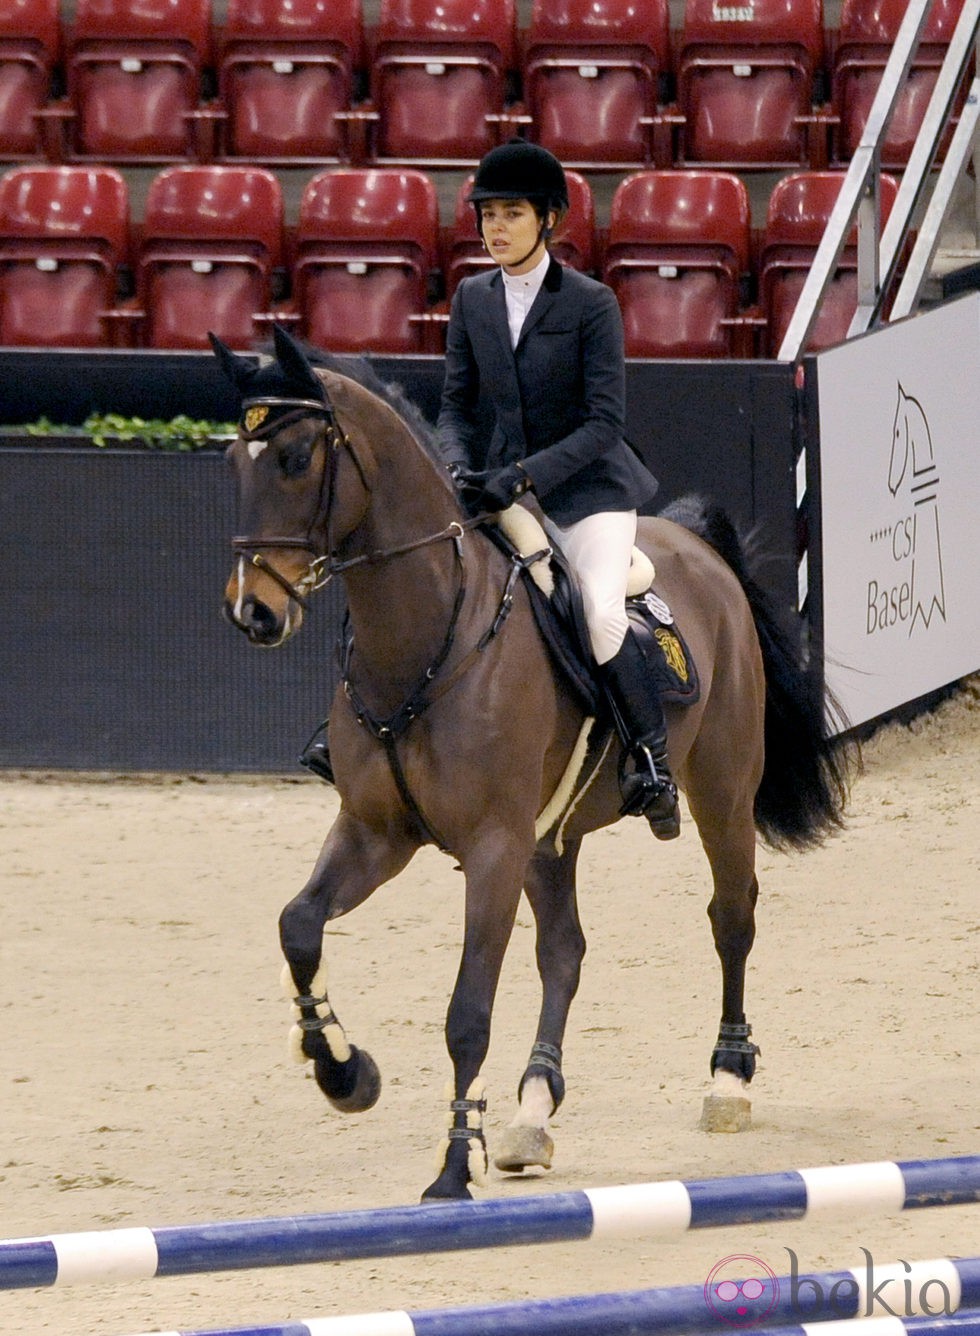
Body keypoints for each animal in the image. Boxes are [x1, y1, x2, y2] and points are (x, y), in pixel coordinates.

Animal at [213, 320, 854, 1202]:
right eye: (232, 463)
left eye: (295, 458)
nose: (254, 612)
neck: (425, 638)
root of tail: (694, 544)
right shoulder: (378, 832)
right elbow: (299, 926)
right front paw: (343, 1071)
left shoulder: (493, 846)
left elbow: (467, 1013)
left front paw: (454, 1166)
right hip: (553, 835)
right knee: (565, 953)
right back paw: (532, 1110)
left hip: (720, 791)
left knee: (732, 917)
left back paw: (727, 1079)